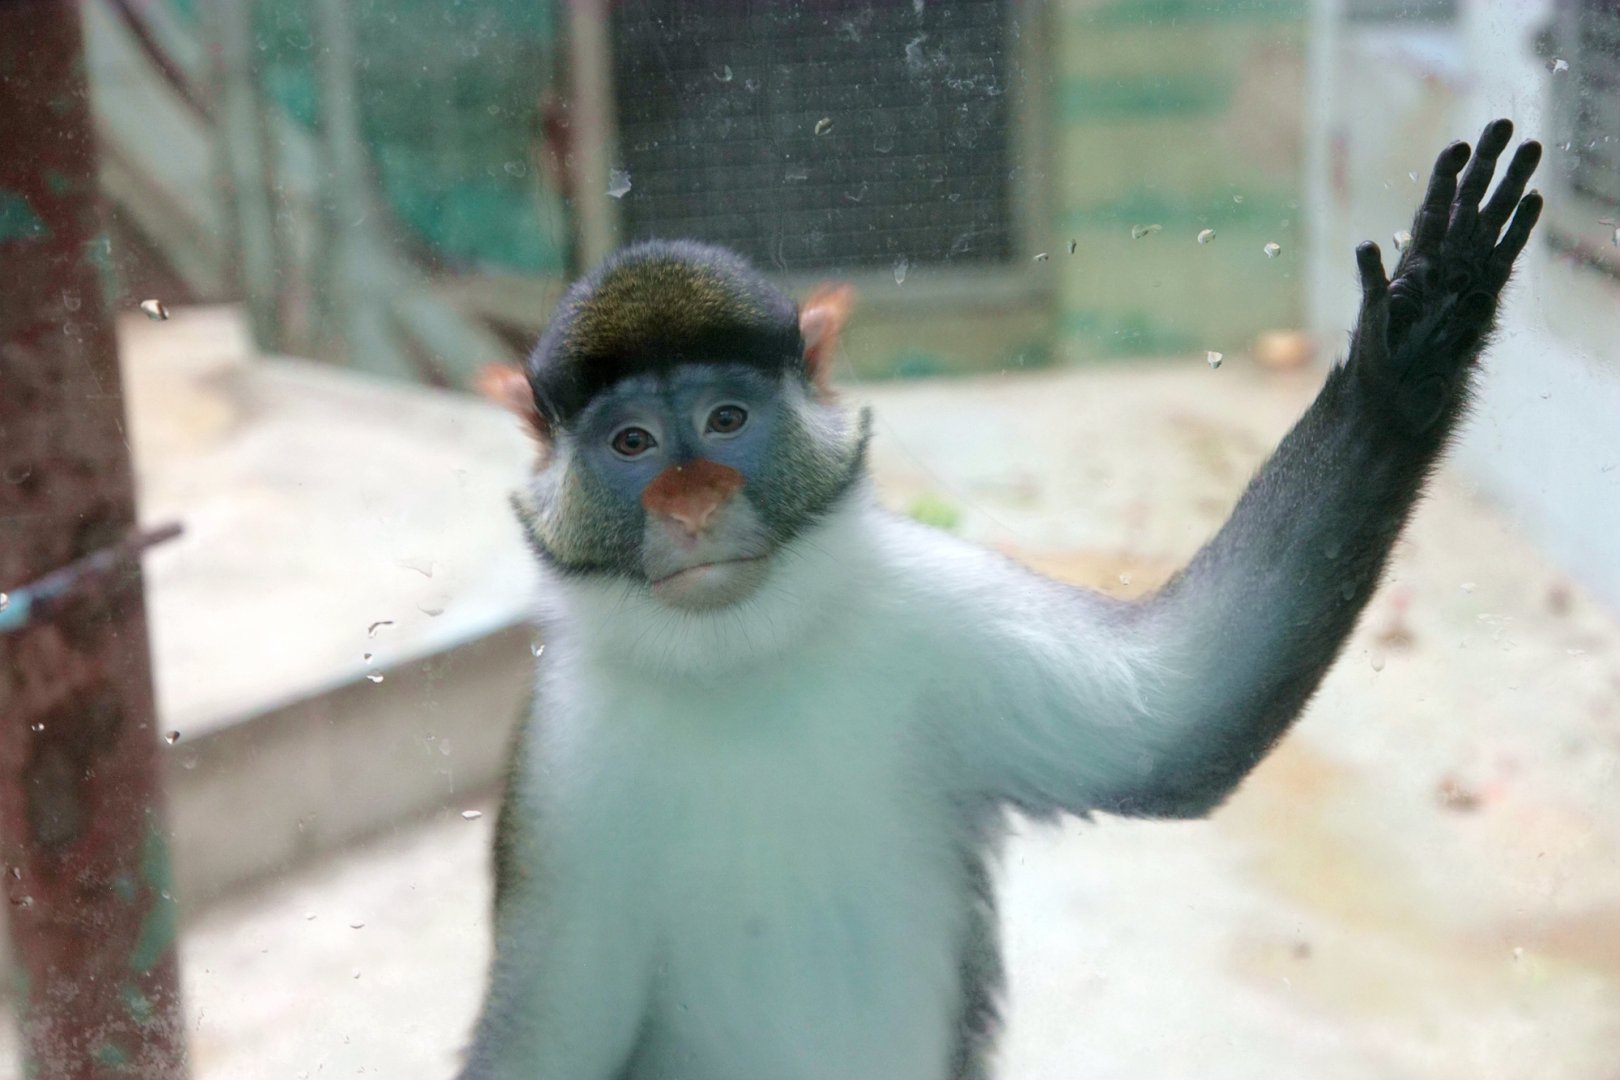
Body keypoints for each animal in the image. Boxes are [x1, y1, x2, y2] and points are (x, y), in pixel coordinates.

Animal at [456, 120, 1542, 1080]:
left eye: (725, 420)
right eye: (633, 443)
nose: (690, 505)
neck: (742, 667)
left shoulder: (938, 613)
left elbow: (1175, 711)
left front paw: (1417, 344)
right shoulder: (559, 779)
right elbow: (543, 1048)